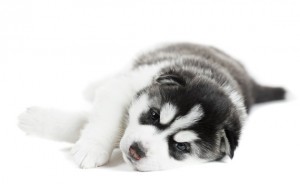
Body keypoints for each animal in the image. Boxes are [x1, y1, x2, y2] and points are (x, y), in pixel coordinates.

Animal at [18, 42, 286, 171]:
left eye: (181, 146)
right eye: (154, 115)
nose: (136, 151)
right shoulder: (127, 85)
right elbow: (106, 119)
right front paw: (91, 148)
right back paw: (92, 87)